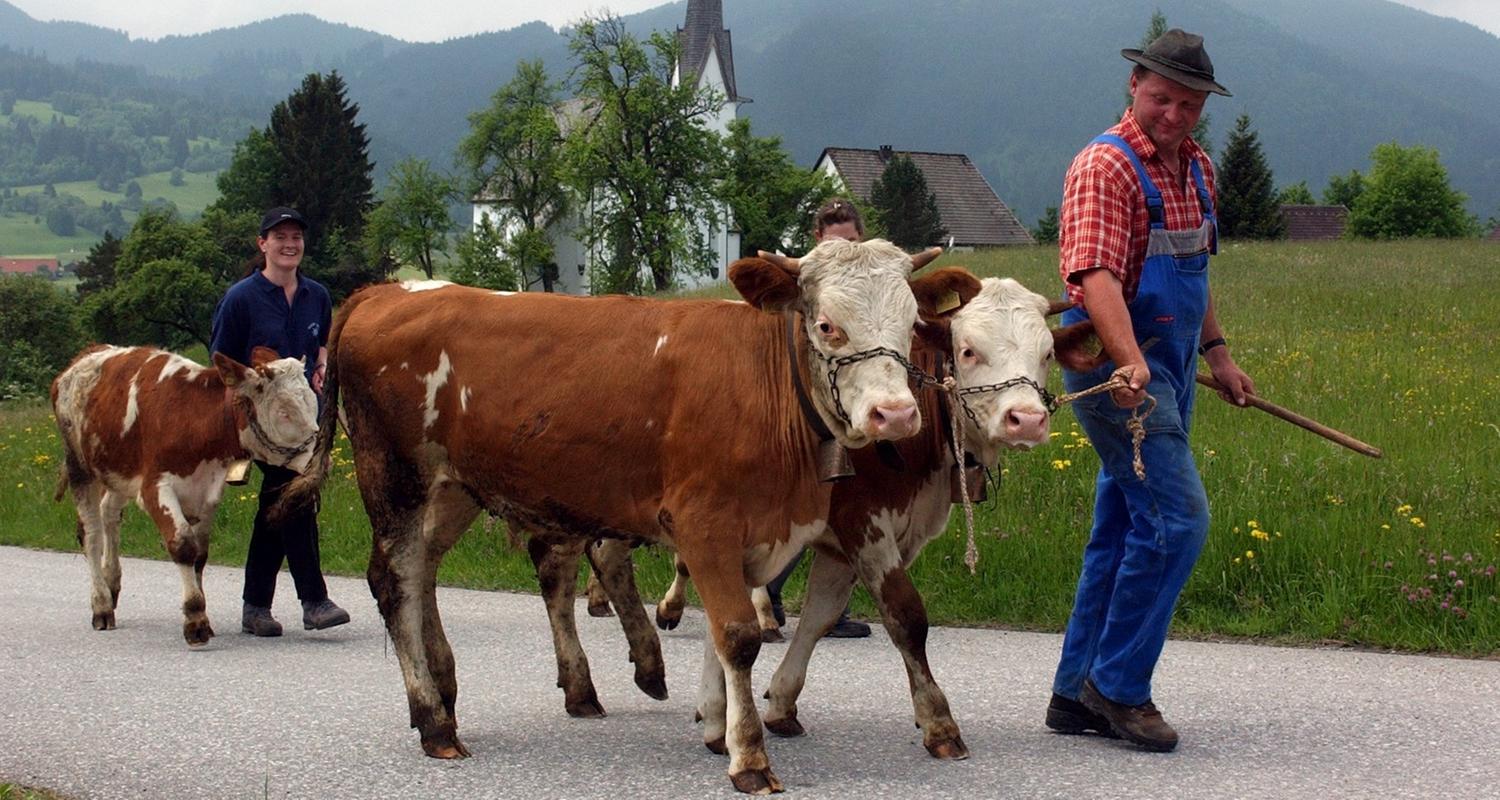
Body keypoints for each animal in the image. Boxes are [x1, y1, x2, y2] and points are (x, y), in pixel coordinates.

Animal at [50, 345, 319, 646]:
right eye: (284, 412)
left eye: (313, 403)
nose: (319, 456)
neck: (192, 417)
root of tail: (87, 354)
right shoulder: (155, 488)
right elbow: (183, 545)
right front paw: (195, 619)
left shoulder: (207, 493)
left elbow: (200, 554)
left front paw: (203, 614)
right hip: (80, 467)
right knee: (92, 535)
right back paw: (101, 605)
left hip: (118, 472)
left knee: (109, 513)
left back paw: (112, 584)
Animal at [280, 238, 951, 794]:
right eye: (827, 325)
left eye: (911, 324)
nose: (895, 414)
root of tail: (388, 290)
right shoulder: (705, 521)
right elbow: (737, 635)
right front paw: (750, 758)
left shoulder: (755, 533)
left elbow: (729, 633)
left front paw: (718, 728)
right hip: (394, 474)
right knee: (394, 581)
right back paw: (434, 723)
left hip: (451, 488)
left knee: (421, 571)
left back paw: (448, 695)